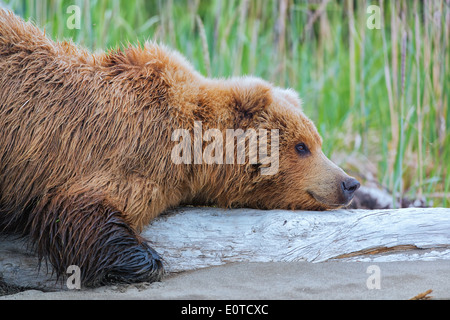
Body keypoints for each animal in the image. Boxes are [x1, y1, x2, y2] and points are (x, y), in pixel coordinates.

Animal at [0, 11, 358, 286]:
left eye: (318, 142)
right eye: (301, 146)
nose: (349, 182)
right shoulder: (121, 154)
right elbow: (76, 211)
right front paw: (150, 260)